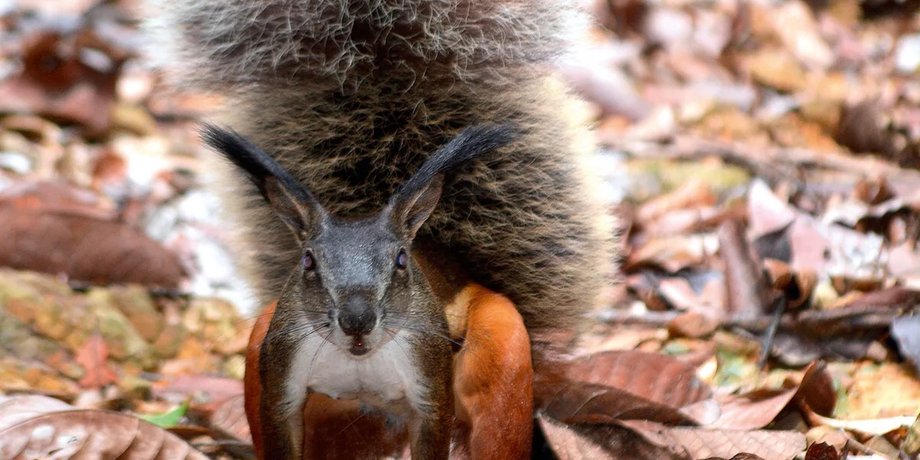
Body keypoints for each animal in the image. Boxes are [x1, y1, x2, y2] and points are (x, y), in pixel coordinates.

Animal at [145, 0, 617, 458]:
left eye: (401, 260)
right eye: (308, 261)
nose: (357, 319)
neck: (359, 360)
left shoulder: (430, 386)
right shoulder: (281, 376)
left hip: (504, 352)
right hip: (269, 350)